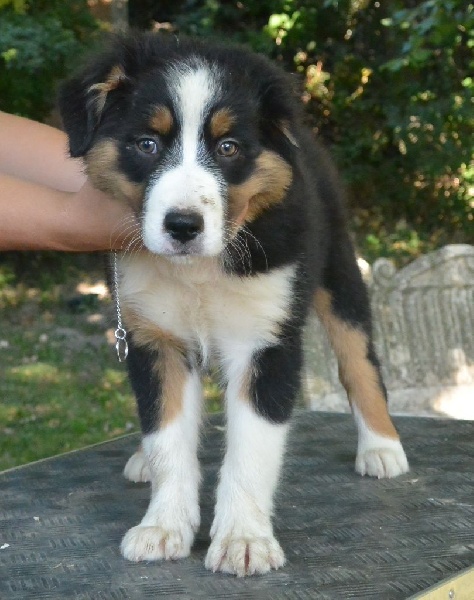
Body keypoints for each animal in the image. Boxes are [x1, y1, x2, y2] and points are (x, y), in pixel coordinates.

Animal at [58, 32, 409, 576]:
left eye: (228, 148)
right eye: (147, 144)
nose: (183, 226)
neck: (200, 271)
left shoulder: (266, 344)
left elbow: (251, 451)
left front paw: (244, 539)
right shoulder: (153, 338)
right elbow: (168, 438)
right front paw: (163, 527)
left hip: (338, 271)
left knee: (359, 359)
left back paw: (381, 446)